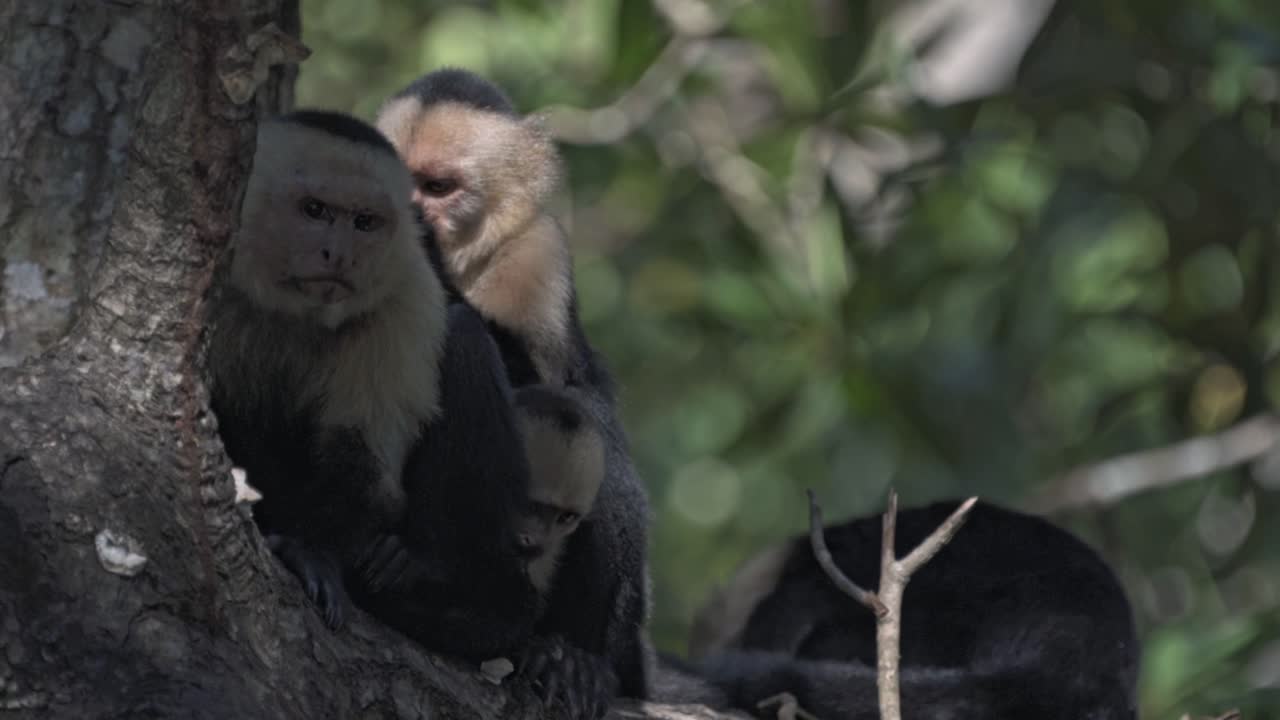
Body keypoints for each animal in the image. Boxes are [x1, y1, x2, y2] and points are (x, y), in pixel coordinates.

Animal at [205, 109, 539, 660]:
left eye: (365, 222)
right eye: (315, 210)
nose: (338, 255)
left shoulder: (405, 292)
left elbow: (366, 465)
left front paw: (310, 551)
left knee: (463, 337)